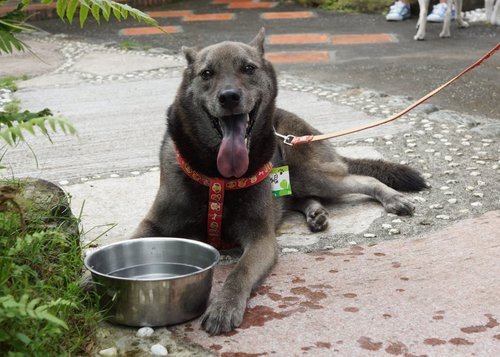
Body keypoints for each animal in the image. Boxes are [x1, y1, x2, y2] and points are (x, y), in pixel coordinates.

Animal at [132, 28, 426, 334]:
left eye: (248, 68)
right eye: (207, 73)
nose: (229, 97)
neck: (217, 177)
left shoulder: (261, 240)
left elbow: (239, 272)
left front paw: (224, 305)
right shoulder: (153, 224)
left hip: (309, 173)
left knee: (361, 178)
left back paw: (392, 198)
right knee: (300, 198)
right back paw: (316, 213)